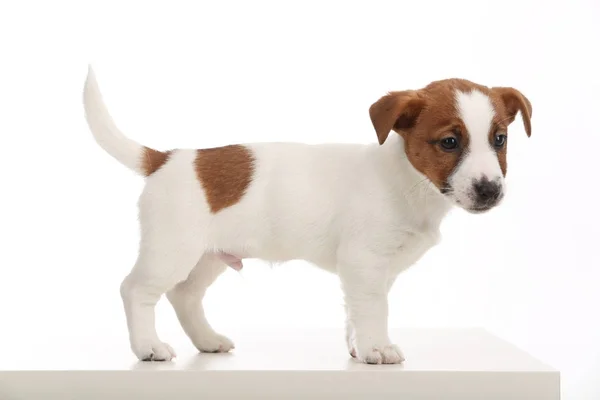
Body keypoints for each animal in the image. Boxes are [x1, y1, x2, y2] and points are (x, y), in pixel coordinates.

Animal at [83, 67, 528, 364]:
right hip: (171, 250)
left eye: (499, 139)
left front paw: (358, 347)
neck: (408, 181)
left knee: (185, 295)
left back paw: (207, 341)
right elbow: (374, 309)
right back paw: (148, 347)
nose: (490, 190)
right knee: (136, 290)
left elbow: (358, 310)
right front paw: (377, 348)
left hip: (208, 256)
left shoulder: (372, 272)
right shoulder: (365, 263)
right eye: (449, 142)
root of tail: (166, 159)